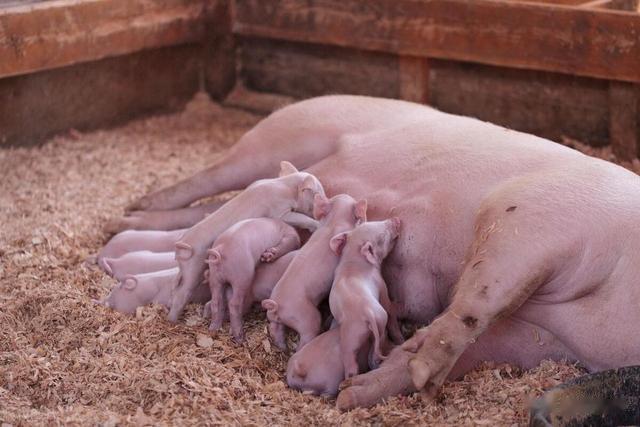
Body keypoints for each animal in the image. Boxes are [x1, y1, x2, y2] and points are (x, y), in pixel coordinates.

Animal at [167, 161, 324, 323]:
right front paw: (317, 225)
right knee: (183, 291)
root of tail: (182, 245)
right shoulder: (279, 211)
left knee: (176, 285)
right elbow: (297, 218)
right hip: (194, 267)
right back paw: (172, 320)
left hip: (187, 269)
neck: (285, 187)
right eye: (317, 193)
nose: (325, 201)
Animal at [262, 193, 367, 350]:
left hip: (274, 317)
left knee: (275, 328)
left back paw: (283, 347)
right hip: (307, 318)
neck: (334, 220)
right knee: (306, 336)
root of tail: (278, 305)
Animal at [328, 218, 404, 378]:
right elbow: (389, 305)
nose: (396, 219)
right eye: (382, 236)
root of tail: (367, 311)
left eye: (374, 221)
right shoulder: (381, 284)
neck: (353, 261)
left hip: (353, 337)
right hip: (373, 324)